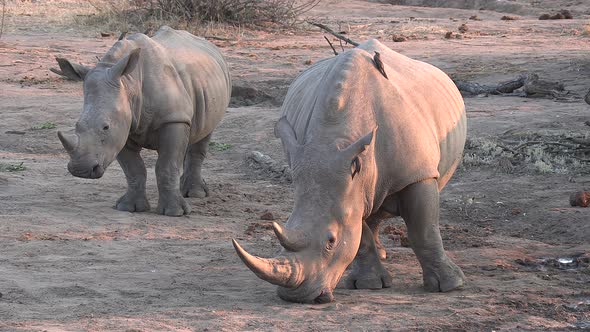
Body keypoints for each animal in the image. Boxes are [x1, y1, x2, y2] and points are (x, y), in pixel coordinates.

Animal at [56, 27, 231, 217]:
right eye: (77, 125)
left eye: (106, 127)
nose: (81, 170)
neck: (129, 84)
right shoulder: (122, 128)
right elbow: (134, 169)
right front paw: (128, 207)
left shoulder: (173, 119)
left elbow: (166, 166)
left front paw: (174, 212)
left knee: (204, 133)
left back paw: (195, 194)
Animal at [234, 39, 470, 304]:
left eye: (331, 241)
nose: (295, 297)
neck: (334, 140)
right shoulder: (349, 183)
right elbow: (359, 232)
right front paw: (368, 284)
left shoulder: (417, 174)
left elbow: (424, 229)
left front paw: (450, 285)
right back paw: (381, 255)